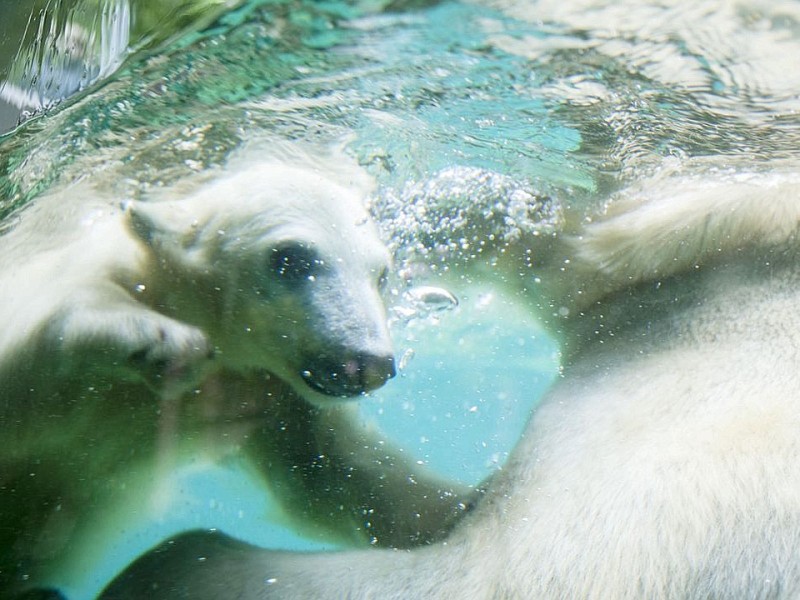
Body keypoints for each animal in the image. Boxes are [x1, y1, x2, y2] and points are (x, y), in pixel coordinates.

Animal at [0, 154, 476, 596]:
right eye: (291, 258)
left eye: (381, 274)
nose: (369, 362)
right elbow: (37, 339)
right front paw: (165, 341)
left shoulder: (270, 396)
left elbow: (337, 476)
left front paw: (466, 502)